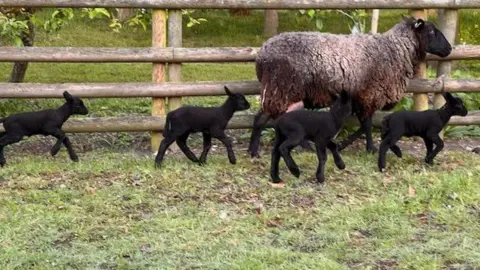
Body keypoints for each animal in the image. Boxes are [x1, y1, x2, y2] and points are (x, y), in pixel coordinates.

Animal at [249, 14, 452, 157]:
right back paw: (258, 150)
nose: (449, 49)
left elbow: (362, 125)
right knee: (263, 119)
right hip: (280, 89)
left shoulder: (359, 97)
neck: (395, 49)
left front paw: (343, 144)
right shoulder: (370, 94)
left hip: (281, 91)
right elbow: (367, 125)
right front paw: (370, 148)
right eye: (431, 32)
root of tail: (261, 55)